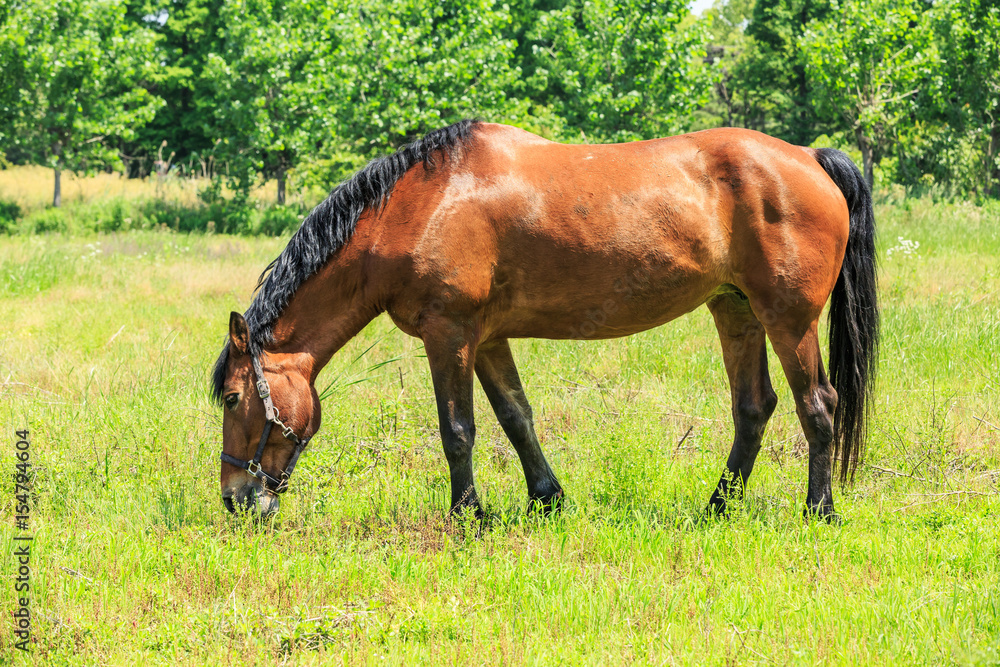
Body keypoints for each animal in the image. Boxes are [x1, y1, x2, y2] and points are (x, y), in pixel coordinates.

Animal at [215, 122, 880, 524]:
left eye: (231, 397)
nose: (235, 499)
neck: (421, 205)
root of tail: (809, 157)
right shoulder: (487, 338)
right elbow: (516, 417)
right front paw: (547, 499)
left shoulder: (449, 334)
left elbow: (457, 430)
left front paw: (468, 517)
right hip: (735, 309)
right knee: (754, 408)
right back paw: (717, 507)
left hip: (788, 318)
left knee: (817, 404)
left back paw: (818, 510)